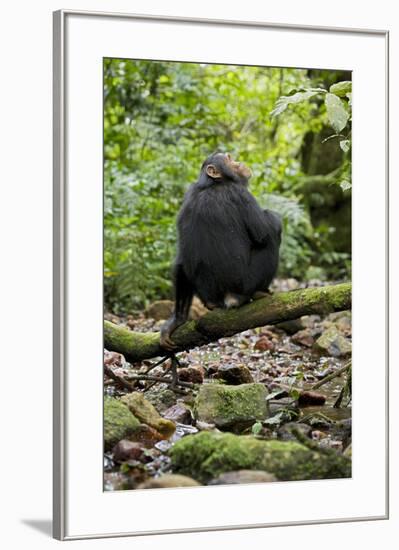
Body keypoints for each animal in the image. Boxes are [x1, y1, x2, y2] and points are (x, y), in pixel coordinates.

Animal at [161, 151, 282, 350]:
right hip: (246, 283)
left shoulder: (187, 198)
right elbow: (265, 231)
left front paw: (176, 320)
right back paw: (260, 292)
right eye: (228, 159)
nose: (238, 162)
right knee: (270, 238)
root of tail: (227, 297)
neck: (213, 184)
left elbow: (181, 258)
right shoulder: (241, 194)